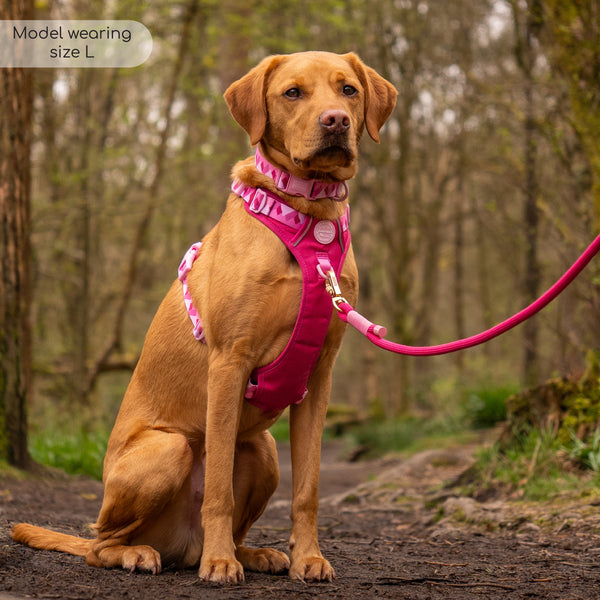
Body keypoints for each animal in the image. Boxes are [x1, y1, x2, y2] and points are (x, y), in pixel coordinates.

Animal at [10, 49, 398, 584]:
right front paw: (220, 564)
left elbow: (309, 488)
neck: (307, 214)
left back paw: (250, 553)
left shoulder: (319, 378)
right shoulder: (230, 363)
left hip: (263, 449)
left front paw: (309, 557)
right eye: (292, 92)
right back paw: (151, 553)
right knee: (100, 542)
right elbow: (217, 490)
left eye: (349, 91)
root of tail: (179, 544)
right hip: (168, 450)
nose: (336, 121)